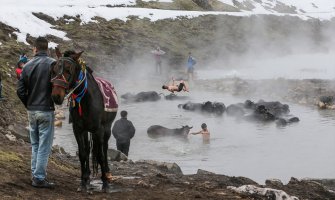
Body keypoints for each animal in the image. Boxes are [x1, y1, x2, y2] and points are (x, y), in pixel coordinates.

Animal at [50, 48, 118, 192]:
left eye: (69, 70)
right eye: (54, 70)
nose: (56, 96)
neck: (86, 100)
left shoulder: (99, 130)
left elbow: (100, 155)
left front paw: (105, 183)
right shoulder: (78, 129)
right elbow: (82, 153)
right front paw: (83, 181)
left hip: (107, 129)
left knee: (104, 148)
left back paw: (107, 173)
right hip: (87, 130)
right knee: (87, 150)